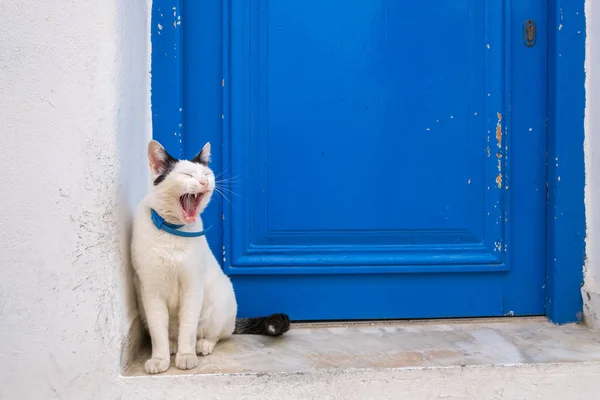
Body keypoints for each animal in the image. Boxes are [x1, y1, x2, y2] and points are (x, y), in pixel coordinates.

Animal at [132, 139, 290, 374]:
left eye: (206, 173)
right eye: (187, 174)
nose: (204, 181)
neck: (173, 232)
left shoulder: (192, 286)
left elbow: (188, 327)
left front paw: (186, 356)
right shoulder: (151, 291)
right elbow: (158, 330)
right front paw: (160, 358)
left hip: (220, 300)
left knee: (217, 334)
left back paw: (202, 345)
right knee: (170, 333)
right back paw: (172, 345)